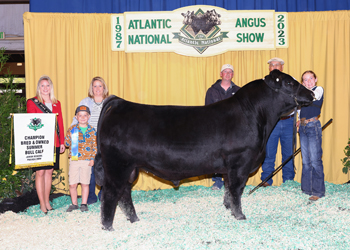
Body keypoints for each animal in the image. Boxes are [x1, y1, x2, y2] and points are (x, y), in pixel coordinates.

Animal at [94, 70, 314, 230]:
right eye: (289, 83)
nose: (312, 93)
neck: (255, 116)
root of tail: (119, 102)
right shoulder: (240, 163)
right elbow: (237, 189)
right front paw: (240, 215)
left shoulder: (229, 168)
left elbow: (228, 189)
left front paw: (228, 208)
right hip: (117, 166)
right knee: (110, 194)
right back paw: (107, 227)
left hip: (130, 169)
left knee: (124, 194)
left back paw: (134, 220)